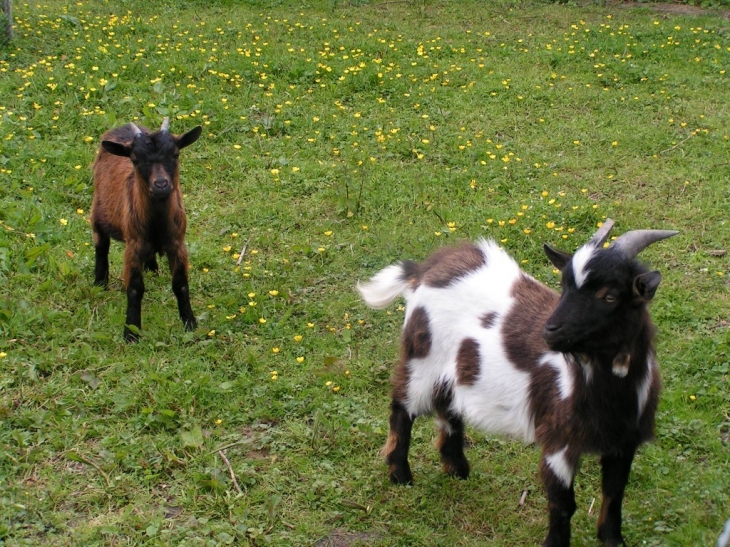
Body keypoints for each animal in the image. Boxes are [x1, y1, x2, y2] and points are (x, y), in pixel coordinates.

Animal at [93, 119, 205, 342]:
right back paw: (100, 282)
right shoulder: (133, 245)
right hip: (97, 211)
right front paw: (131, 332)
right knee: (101, 245)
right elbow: (135, 288)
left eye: (175, 154)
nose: (161, 184)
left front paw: (189, 323)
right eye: (135, 160)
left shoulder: (177, 243)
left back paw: (153, 270)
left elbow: (180, 283)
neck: (157, 223)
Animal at [356, 220, 672, 544]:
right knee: (402, 408)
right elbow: (563, 502)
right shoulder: (559, 441)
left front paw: (612, 540)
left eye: (610, 296)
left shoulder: (623, 442)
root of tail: (429, 267)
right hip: (422, 358)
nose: (550, 330)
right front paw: (555, 543)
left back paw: (457, 470)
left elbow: (614, 494)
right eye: (564, 286)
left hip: (454, 368)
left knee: (448, 408)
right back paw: (400, 475)